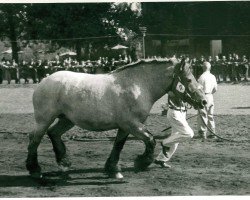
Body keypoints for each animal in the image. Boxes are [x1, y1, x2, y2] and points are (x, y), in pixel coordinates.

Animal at [26, 57, 208, 178]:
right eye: (189, 79)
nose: (204, 101)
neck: (138, 85)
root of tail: (44, 80)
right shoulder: (132, 124)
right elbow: (150, 140)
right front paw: (141, 162)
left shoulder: (125, 127)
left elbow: (118, 145)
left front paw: (113, 169)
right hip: (44, 119)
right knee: (35, 139)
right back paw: (35, 170)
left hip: (67, 119)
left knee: (53, 133)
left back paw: (64, 164)